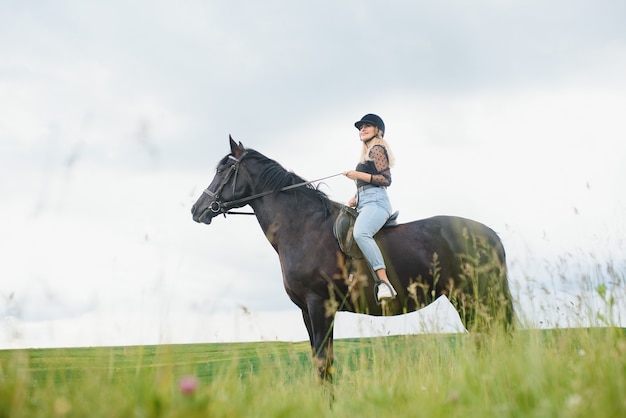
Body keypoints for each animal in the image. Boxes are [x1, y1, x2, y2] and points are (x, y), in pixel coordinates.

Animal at [190, 137, 512, 382]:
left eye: (224, 170)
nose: (197, 209)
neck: (303, 227)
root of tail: (490, 234)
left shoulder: (320, 306)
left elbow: (324, 363)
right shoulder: (307, 311)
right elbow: (320, 362)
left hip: (477, 298)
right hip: (466, 300)